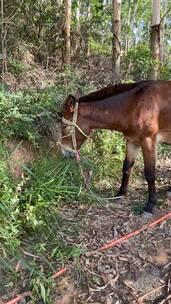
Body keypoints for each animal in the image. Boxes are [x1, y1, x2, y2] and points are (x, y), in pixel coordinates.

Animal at [59, 81, 171, 214]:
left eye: (64, 126)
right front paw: (121, 193)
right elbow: (126, 167)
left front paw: (150, 204)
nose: (64, 151)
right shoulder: (132, 141)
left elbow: (149, 173)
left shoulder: (148, 141)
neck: (134, 105)